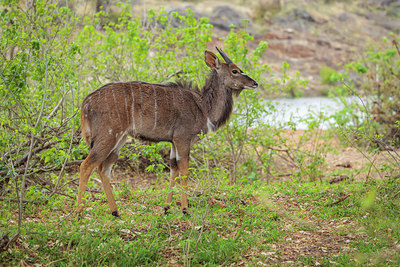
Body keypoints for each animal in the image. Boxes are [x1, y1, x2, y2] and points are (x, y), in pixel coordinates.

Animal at [77, 48, 260, 218]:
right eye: (235, 70)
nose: (255, 83)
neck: (203, 107)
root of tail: (86, 102)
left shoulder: (173, 141)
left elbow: (174, 169)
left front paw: (166, 208)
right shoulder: (183, 138)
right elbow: (184, 170)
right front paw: (185, 209)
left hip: (120, 139)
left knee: (104, 168)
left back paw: (115, 211)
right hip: (108, 135)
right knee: (87, 165)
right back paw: (79, 212)